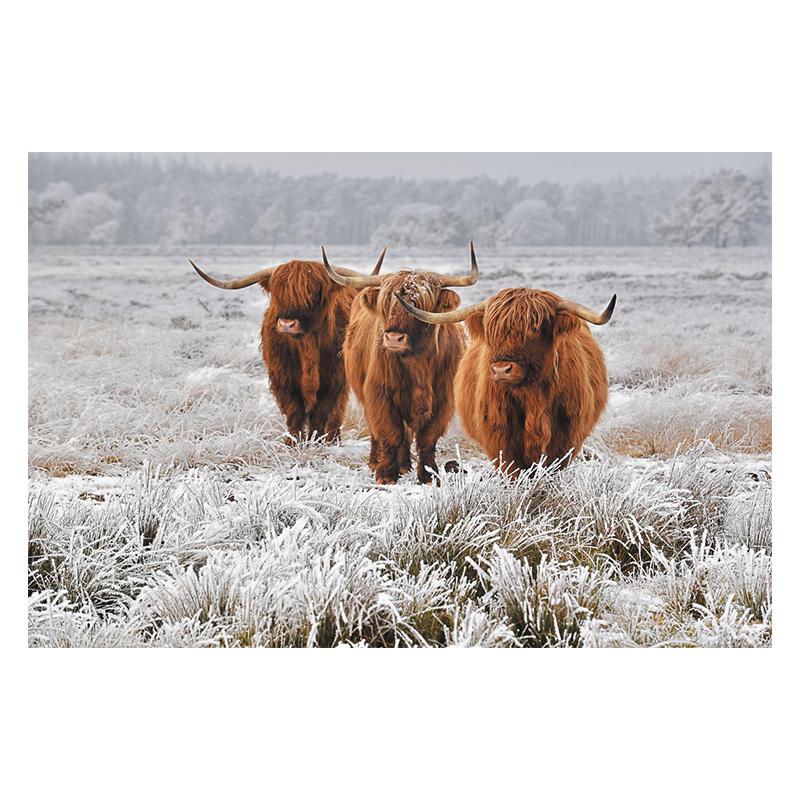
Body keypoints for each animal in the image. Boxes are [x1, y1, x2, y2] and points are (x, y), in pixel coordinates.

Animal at [188, 250, 385, 444]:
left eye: (312, 293)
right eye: (278, 294)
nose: (287, 324)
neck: (307, 346)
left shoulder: (334, 379)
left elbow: (321, 412)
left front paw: (316, 441)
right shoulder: (283, 379)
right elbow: (294, 412)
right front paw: (292, 443)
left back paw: (333, 439)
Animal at [321, 244, 481, 484]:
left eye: (419, 305)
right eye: (386, 303)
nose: (394, 338)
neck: (418, 364)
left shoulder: (443, 400)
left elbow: (427, 438)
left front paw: (429, 475)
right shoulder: (379, 394)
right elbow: (390, 433)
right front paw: (386, 474)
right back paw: (379, 462)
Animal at [395, 285, 616, 474]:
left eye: (534, 328)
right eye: (491, 330)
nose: (502, 370)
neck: (532, 396)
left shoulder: (566, 436)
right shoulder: (499, 436)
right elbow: (512, 471)